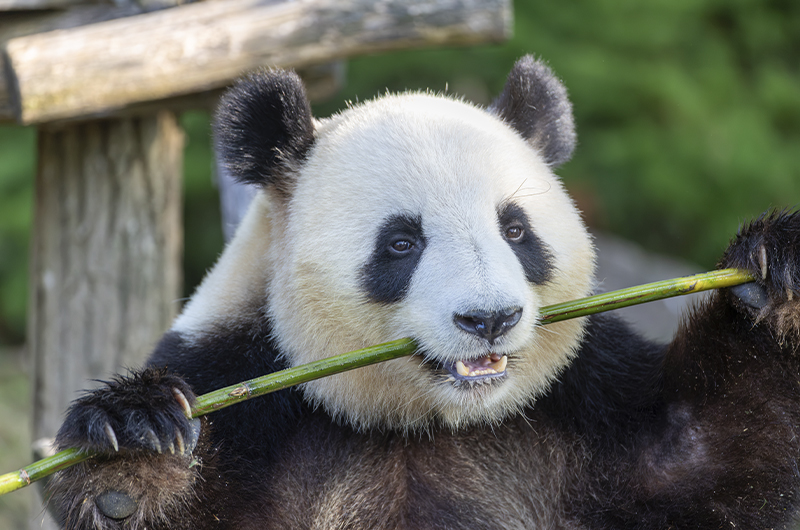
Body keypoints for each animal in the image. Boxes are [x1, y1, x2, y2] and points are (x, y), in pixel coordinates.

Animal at [50, 56, 800, 529]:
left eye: (516, 230)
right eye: (402, 244)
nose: (489, 319)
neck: (421, 422)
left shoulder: (585, 402)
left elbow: (709, 457)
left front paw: (779, 274)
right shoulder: (242, 387)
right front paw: (131, 445)